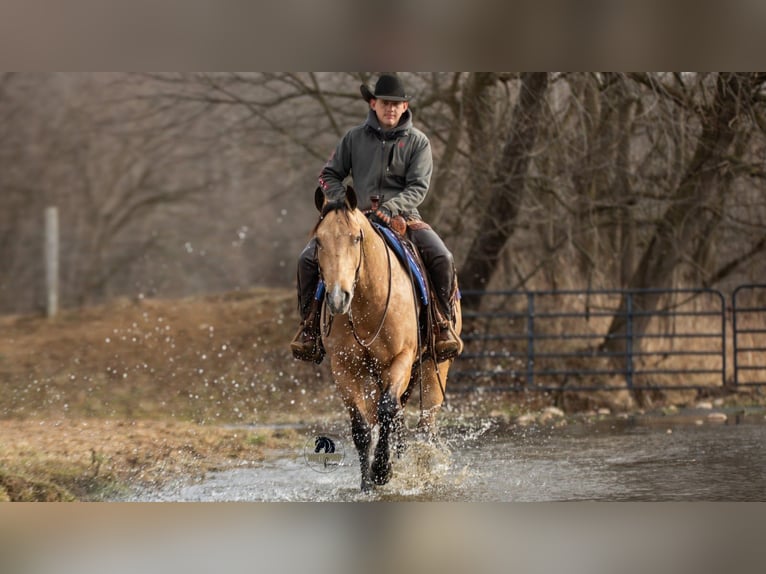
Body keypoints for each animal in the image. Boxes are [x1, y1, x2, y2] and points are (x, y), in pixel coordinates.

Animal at [312, 186, 462, 491]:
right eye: (319, 241)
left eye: (356, 238)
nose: (337, 298)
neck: (368, 301)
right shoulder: (344, 368)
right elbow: (362, 427)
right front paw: (368, 482)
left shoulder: (401, 358)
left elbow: (387, 409)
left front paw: (382, 470)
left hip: (434, 368)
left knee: (423, 424)